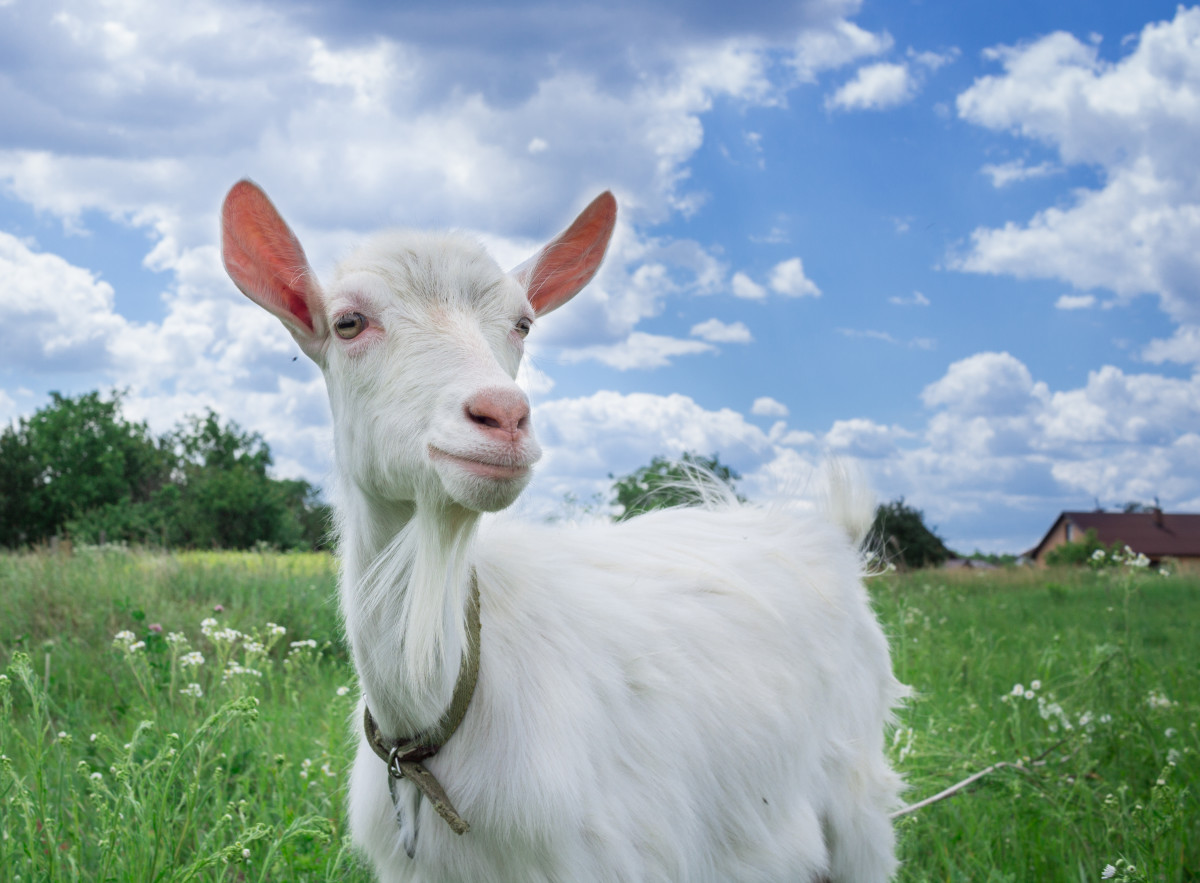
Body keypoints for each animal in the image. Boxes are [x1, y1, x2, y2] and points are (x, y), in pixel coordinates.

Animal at [220, 181, 902, 883]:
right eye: (349, 322)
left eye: (523, 323)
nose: (503, 415)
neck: (431, 721)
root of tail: (831, 536)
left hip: (858, 806)